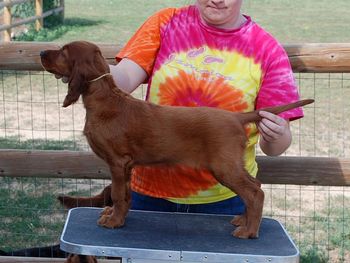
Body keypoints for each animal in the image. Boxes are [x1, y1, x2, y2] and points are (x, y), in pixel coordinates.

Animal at [40, 40, 312, 239]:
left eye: (63, 51)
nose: (42, 52)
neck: (105, 98)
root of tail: (236, 118)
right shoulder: (126, 166)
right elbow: (125, 195)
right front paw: (118, 216)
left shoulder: (117, 162)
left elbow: (117, 194)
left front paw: (113, 221)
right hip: (231, 165)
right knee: (254, 186)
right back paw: (243, 220)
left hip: (224, 166)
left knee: (255, 192)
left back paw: (249, 231)